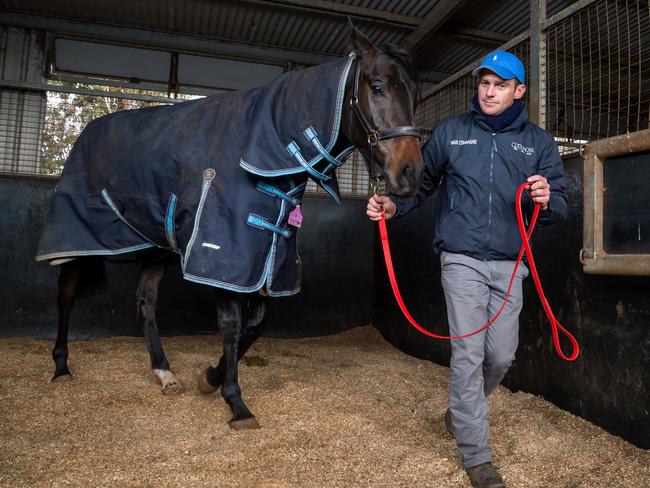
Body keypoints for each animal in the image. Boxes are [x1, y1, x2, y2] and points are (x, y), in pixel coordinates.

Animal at [35, 24, 422, 428]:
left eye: (416, 95)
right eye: (376, 86)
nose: (410, 173)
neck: (263, 148)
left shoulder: (265, 254)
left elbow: (257, 323)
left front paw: (210, 377)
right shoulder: (223, 257)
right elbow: (232, 325)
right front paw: (236, 403)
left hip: (156, 250)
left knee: (145, 303)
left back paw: (164, 373)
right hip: (77, 240)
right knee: (66, 296)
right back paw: (61, 368)